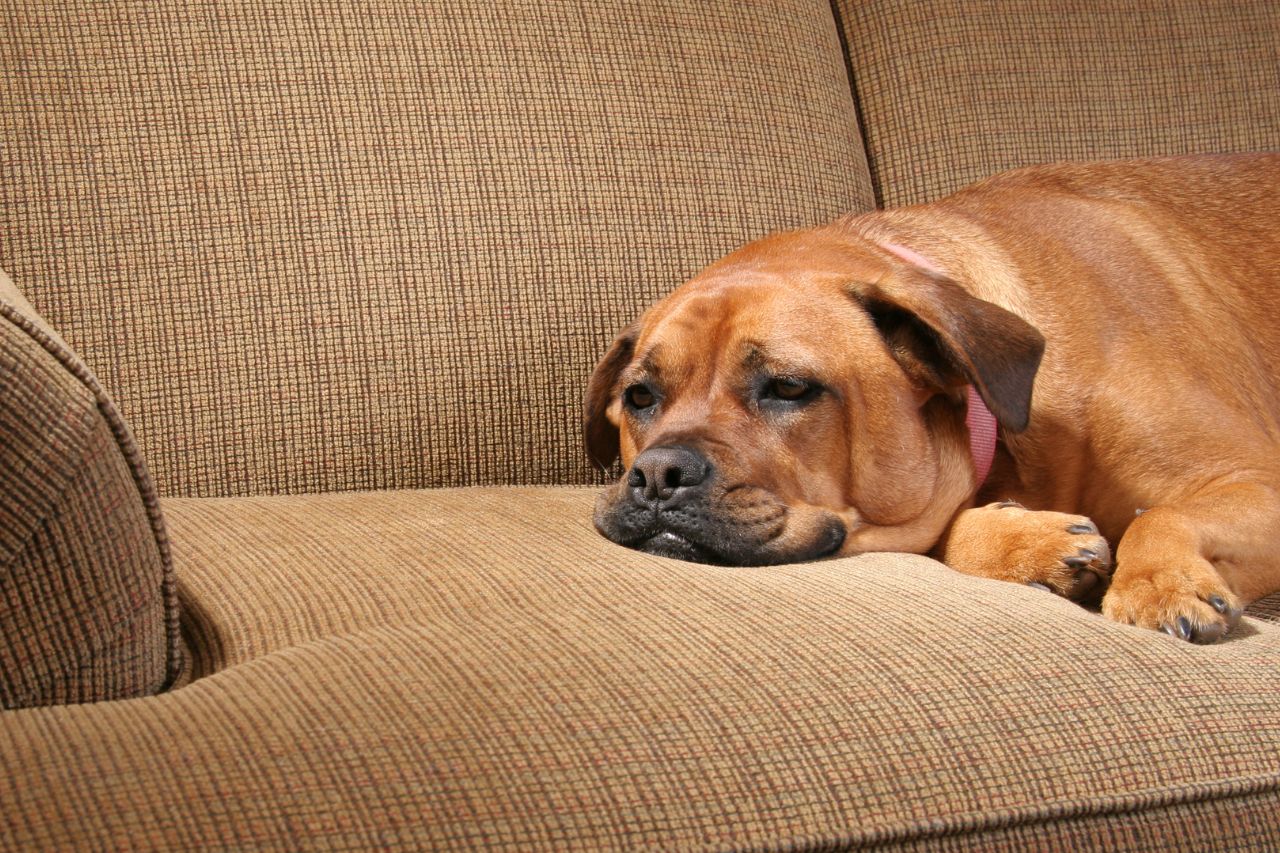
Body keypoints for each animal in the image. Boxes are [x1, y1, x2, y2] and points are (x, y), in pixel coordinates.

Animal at [586, 154, 1280, 645]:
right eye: (640, 396)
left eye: (788, 387)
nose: (657, 475)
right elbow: (951, 529)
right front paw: (1032, 543)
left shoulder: (1254, 478)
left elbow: (1161, 514)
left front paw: (1159, 584)